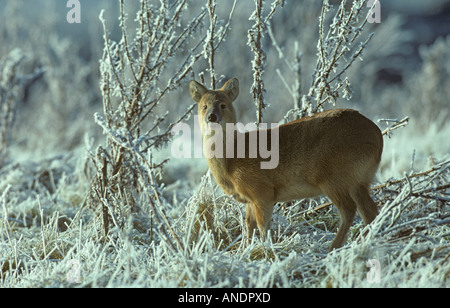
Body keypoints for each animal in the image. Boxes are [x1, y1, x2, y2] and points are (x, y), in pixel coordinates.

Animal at [190, 78, 384, 251]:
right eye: (204, 106)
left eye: (223, 105)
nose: (212, 116)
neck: (232, 161)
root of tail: (378, 136)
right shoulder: (250, 199)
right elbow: (248, 226)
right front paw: (244, 250)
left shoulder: (262, 191)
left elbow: (263, 227)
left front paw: (266, 250)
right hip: (360, 179)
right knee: (370, 211)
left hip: (335, 177)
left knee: (349, 210)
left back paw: (334, 247)